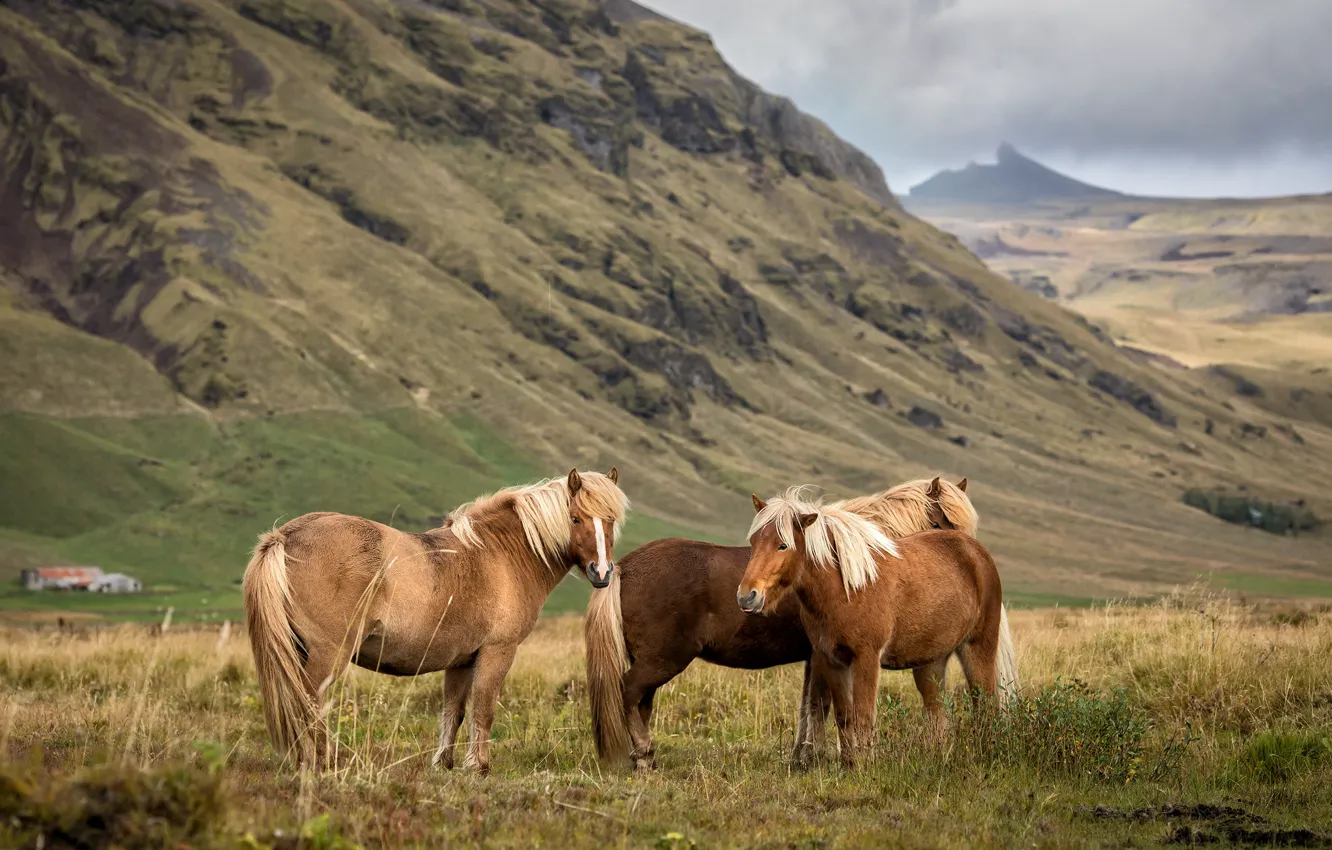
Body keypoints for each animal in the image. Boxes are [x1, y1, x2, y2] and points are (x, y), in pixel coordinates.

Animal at [243, 467, 628, 774]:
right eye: (575, 519)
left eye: (610, 521)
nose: (602, 572)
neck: (501, 555)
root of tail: (285, 536)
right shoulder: (497, 653)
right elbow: (483, 709)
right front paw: (479, 766)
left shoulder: (460, 661)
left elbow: (453, 712)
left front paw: (444, 763)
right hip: (326, 656)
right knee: (308, 702)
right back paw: (321, 761)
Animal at [586, 477, 977, 770]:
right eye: (941, 522)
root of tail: (624, 568)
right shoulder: (824, 654)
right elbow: (821, 705)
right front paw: (815, 756)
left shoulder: (817, 656)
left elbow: (811, 704)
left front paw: (804, 755)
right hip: (662, 660)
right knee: (628, 692)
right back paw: (643, 753)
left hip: (652, 662)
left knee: (641, 701)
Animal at [737, 487, 1018, 768]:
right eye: (754, 542)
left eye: (782, 545)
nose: (746, 596)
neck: (847, 588)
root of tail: (976, 552)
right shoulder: (831, 660)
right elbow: (845, 717)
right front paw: (849, 766)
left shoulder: (866, 659)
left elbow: (863, 717)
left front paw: (862, 767)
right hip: (931, 661)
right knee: (937, 710)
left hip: (978, 647)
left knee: (985, 703)